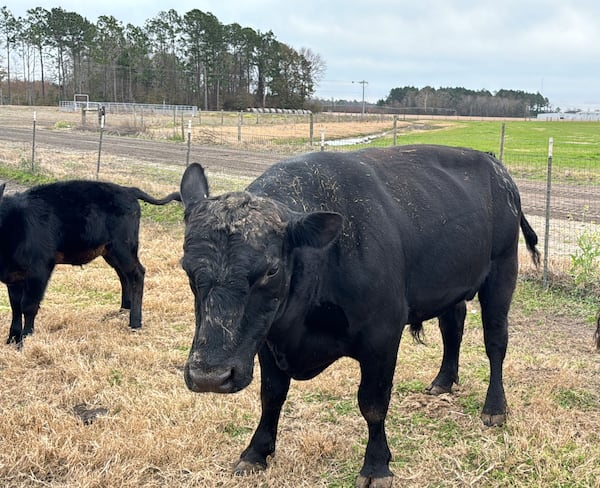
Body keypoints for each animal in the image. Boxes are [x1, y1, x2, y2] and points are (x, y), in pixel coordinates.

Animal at [0, 178, 180, 344]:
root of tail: (128, 190)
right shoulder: (13, 276)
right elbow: (15, 306)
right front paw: (12, 338)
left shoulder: (40, 270)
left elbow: (28, 305)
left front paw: (25, 339)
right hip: (110, 251)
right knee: (124, 276)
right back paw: (123, 309)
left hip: (124, 247)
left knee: (137, 274)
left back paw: (135, 322)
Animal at [177, 145, 540, 488]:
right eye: (187, 268)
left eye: (271, 270)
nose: (209, 377)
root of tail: (494, 165)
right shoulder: (267, 339)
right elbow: (271, 396)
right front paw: (255, 453)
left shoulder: (382, 336)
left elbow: (373, 403)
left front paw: (376, 466)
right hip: (451, 283)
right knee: (453, 327)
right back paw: (443, 381)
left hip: (502, 272)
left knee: (495, 342)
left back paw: (494, 408)